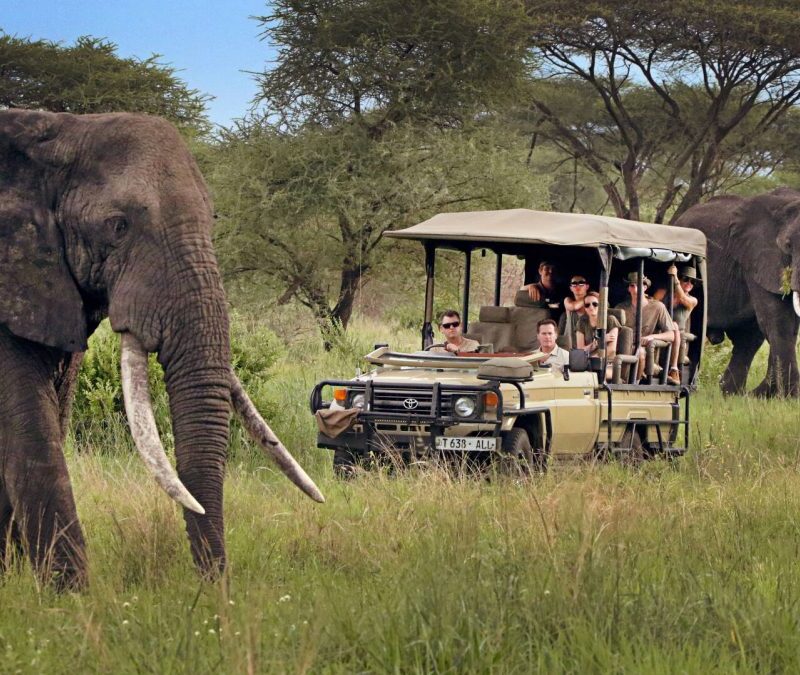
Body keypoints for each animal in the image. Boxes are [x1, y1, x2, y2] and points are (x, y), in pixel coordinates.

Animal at [0, 109, 324, 590]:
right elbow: (29, 429)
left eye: (212, 220)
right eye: (118, 226)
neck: (57, 129)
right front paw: (72, 599)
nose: (215, 592)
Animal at [675, 188, 800, 397]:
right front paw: (790, 397)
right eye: (788, 245)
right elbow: (779, 321)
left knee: (748, 339)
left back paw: (731, 393)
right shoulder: (756, 259)